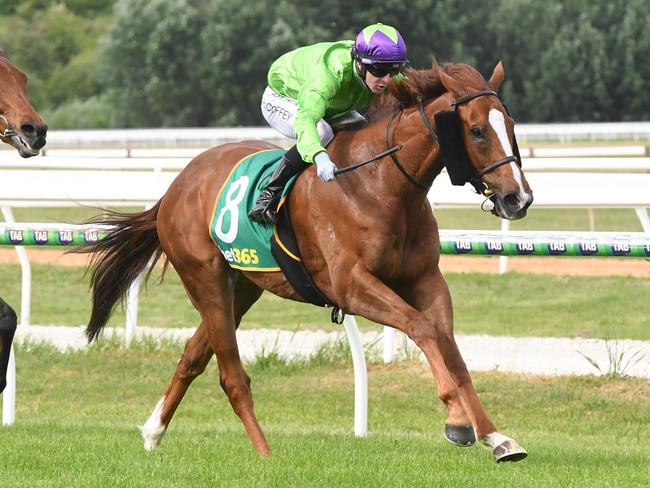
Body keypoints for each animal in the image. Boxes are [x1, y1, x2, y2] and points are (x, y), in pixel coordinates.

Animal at [79, 60, 532, 462]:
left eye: (511, 127)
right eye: (476, 131)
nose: (519, 199)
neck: (381, 183)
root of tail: (177, 185)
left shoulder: (425, 279)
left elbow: (450, 349)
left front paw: (494, 437)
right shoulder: (351, 286)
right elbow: (423, 329)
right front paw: (457, 419)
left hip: (243, 286)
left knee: (193, 356)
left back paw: (153, 432)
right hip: (204, 278)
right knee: (231, 376)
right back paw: (265, 454)